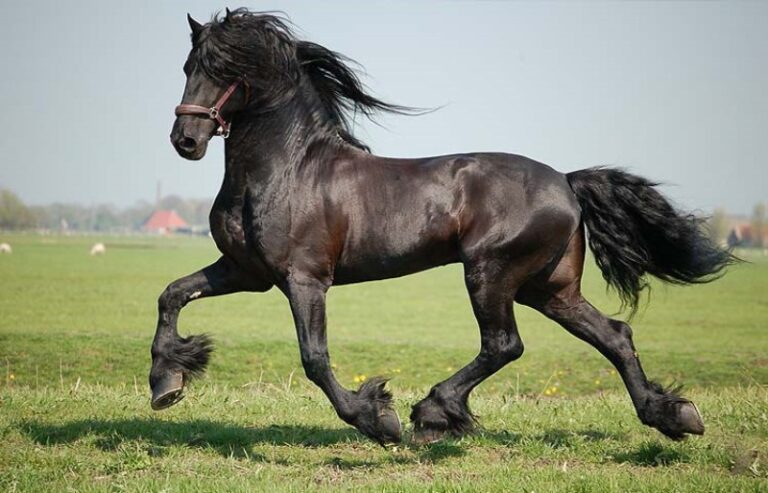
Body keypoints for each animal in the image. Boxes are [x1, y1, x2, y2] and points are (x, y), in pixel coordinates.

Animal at [152, 9, 734, 445]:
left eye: (228, 69)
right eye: (188, 64)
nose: (186, 140)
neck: (288, 168)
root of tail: (567, 183)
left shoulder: (304, 279)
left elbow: (314, 358)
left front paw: (377, 419)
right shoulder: (245, 271)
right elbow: (172, 294)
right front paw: (166, 381)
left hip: (491, 273)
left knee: (504, 344)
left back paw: (432, 412)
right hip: (549, 288)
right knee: (613, 335)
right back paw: (673, 416)